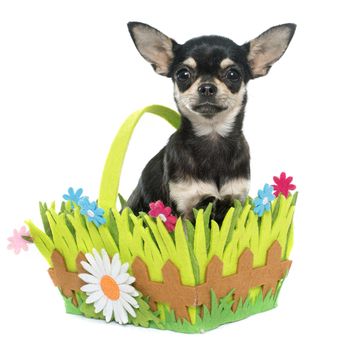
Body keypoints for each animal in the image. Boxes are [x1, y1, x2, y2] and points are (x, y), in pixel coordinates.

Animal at [126, 21, 296, 223]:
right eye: (183, 75)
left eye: (233, 74)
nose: (207, 87)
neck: (212, 136)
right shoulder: (184, 207)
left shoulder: (233, 201)